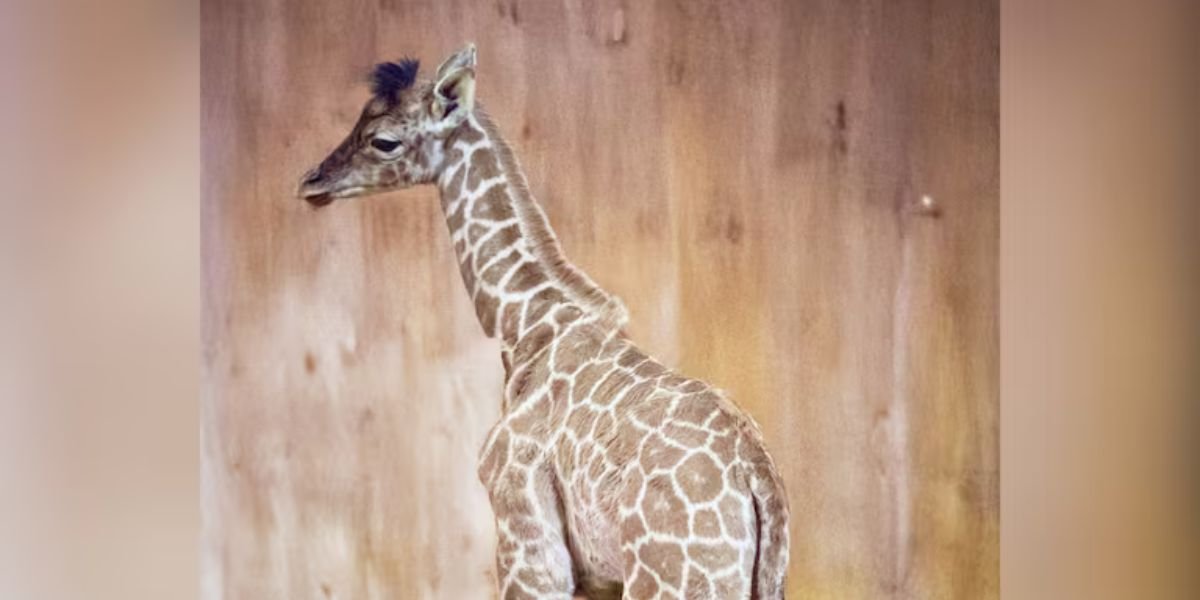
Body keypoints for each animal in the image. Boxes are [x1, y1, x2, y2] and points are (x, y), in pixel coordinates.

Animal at [297, 45, 790, 599]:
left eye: (383, 140)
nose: (312, 182)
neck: (527, 322)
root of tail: (759, 482)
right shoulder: (597, 575)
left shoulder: (525, 537)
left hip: (671, 582)